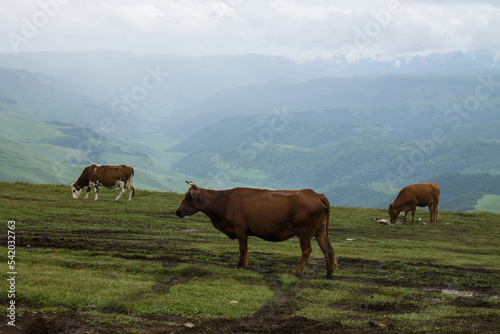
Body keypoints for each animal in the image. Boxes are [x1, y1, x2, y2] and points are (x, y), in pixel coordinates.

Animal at [175, 181, 336, 278]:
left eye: (188, 197)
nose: (177, 211)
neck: (224, 202)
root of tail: (316, 194)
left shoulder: (241, 230)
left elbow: (243, 249)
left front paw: (242, 266)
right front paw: (239, 265)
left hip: (305, 232)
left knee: (307, 250)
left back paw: (297, 272)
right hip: (320, 231)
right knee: (326, 249)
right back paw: (328, 274)